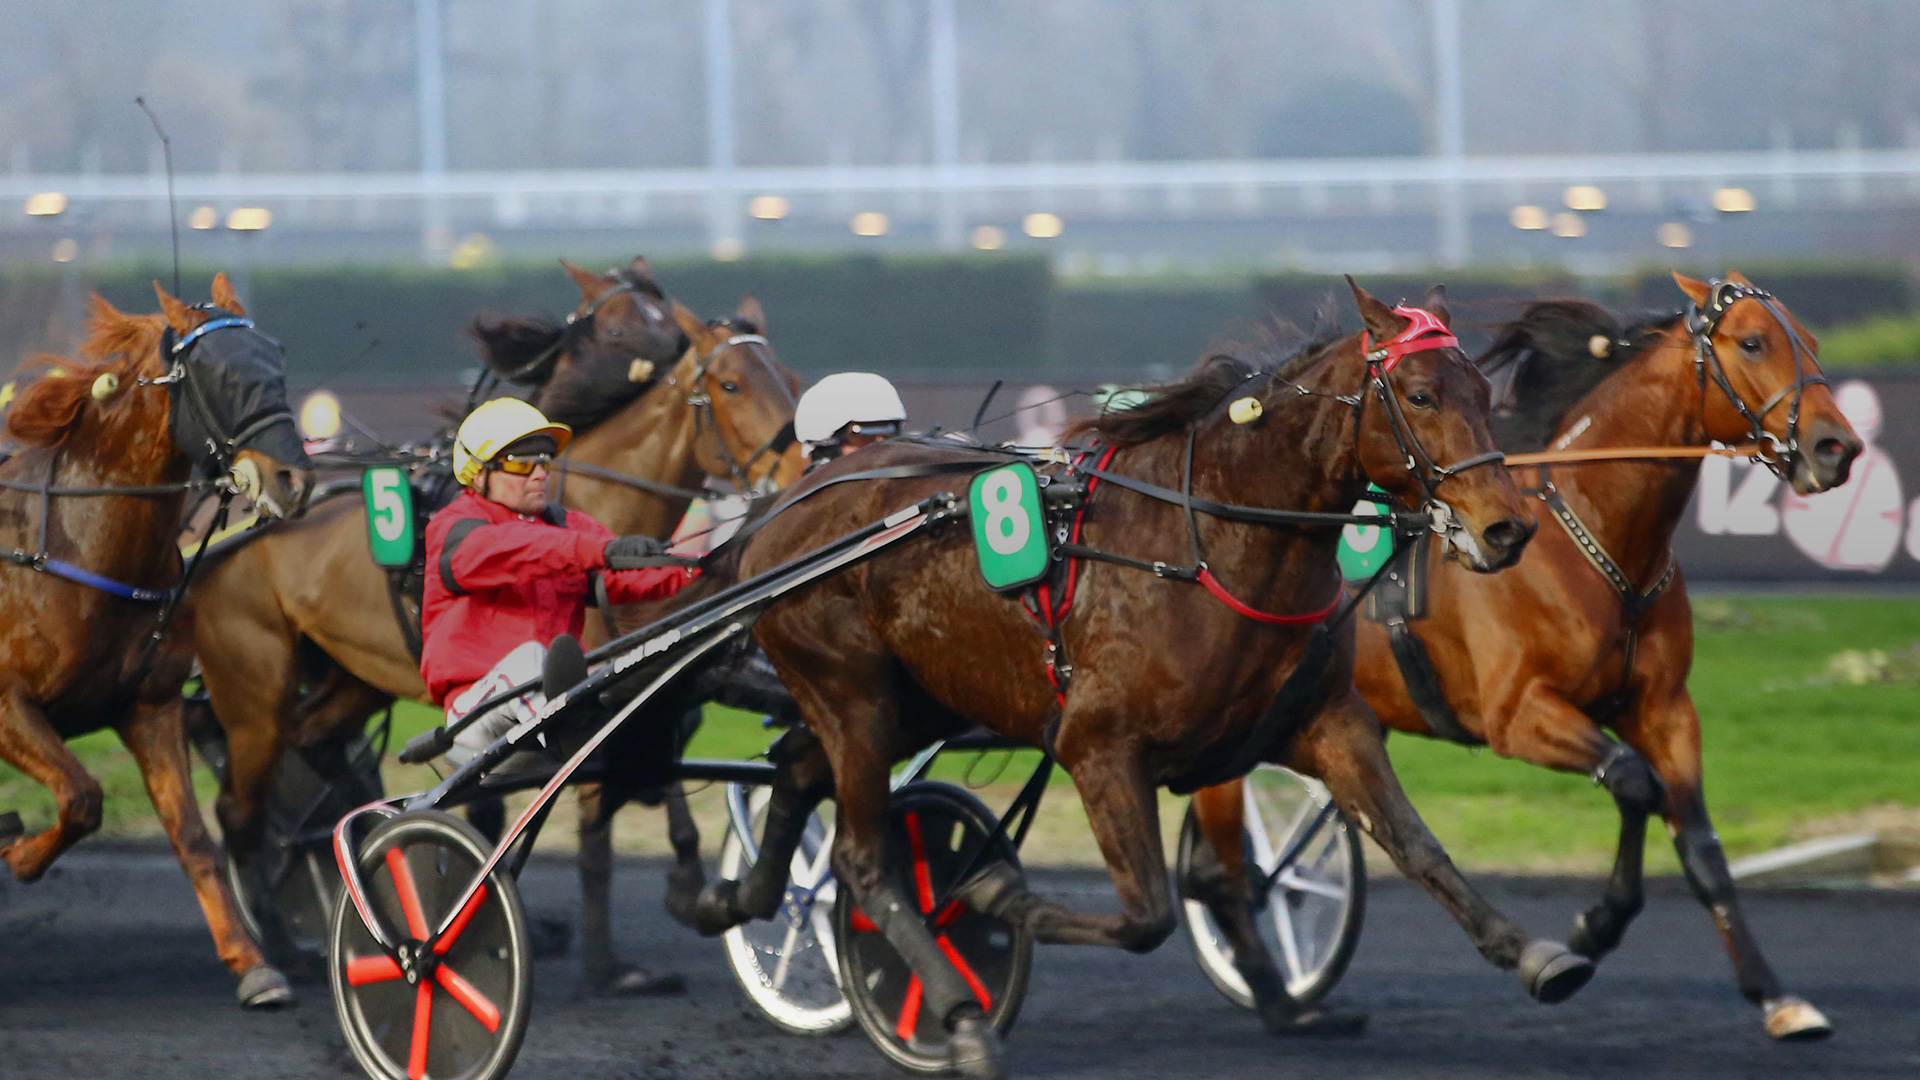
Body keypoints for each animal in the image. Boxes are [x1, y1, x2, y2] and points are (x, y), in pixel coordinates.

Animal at [0, 274, 314, 999]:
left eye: (276, 358)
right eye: (221, 373)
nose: (295, 478)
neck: (75, 548)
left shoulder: (151, 706)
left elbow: (193, 837)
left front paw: (253, 964)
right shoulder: (8, 705)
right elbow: (82, 798)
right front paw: (21, 855)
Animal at [187, 255, 802, 991]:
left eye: (788, 376)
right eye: (731, 383)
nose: (800, 464)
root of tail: (229, 531)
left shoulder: (643, 678)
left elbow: (654, 776)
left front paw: (680, 890)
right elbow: (591, 814)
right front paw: (603, 960)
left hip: (352, 676)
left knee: (319, 745)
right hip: (256, 694)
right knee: (238, 811)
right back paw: (277, 952)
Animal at [687, 282, 1574, 1068]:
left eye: (1483, 391)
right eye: (1420, 395)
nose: (1507, 528)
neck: (1209, 543)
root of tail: (776, 514)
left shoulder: (1327, 723)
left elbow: (1419, 846)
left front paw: (1537, 952)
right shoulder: (1098, 744)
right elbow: (1146, 913)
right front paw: (993, 898)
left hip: (918, 696)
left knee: (797, 769)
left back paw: (729, 898)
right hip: (855, 695)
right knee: (864, 865)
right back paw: (956, 1013)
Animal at [1182, 270, 1858, 1045]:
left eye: (1809, 340)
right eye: (1751, 342)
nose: (1837, 447)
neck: (1593, 535)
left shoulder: (1663, 709)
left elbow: (1699, 843)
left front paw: (1776, 997)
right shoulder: (1517, 714)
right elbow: (1634, 783)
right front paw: (1593, 927)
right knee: (1225, 871)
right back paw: (1279, 994)